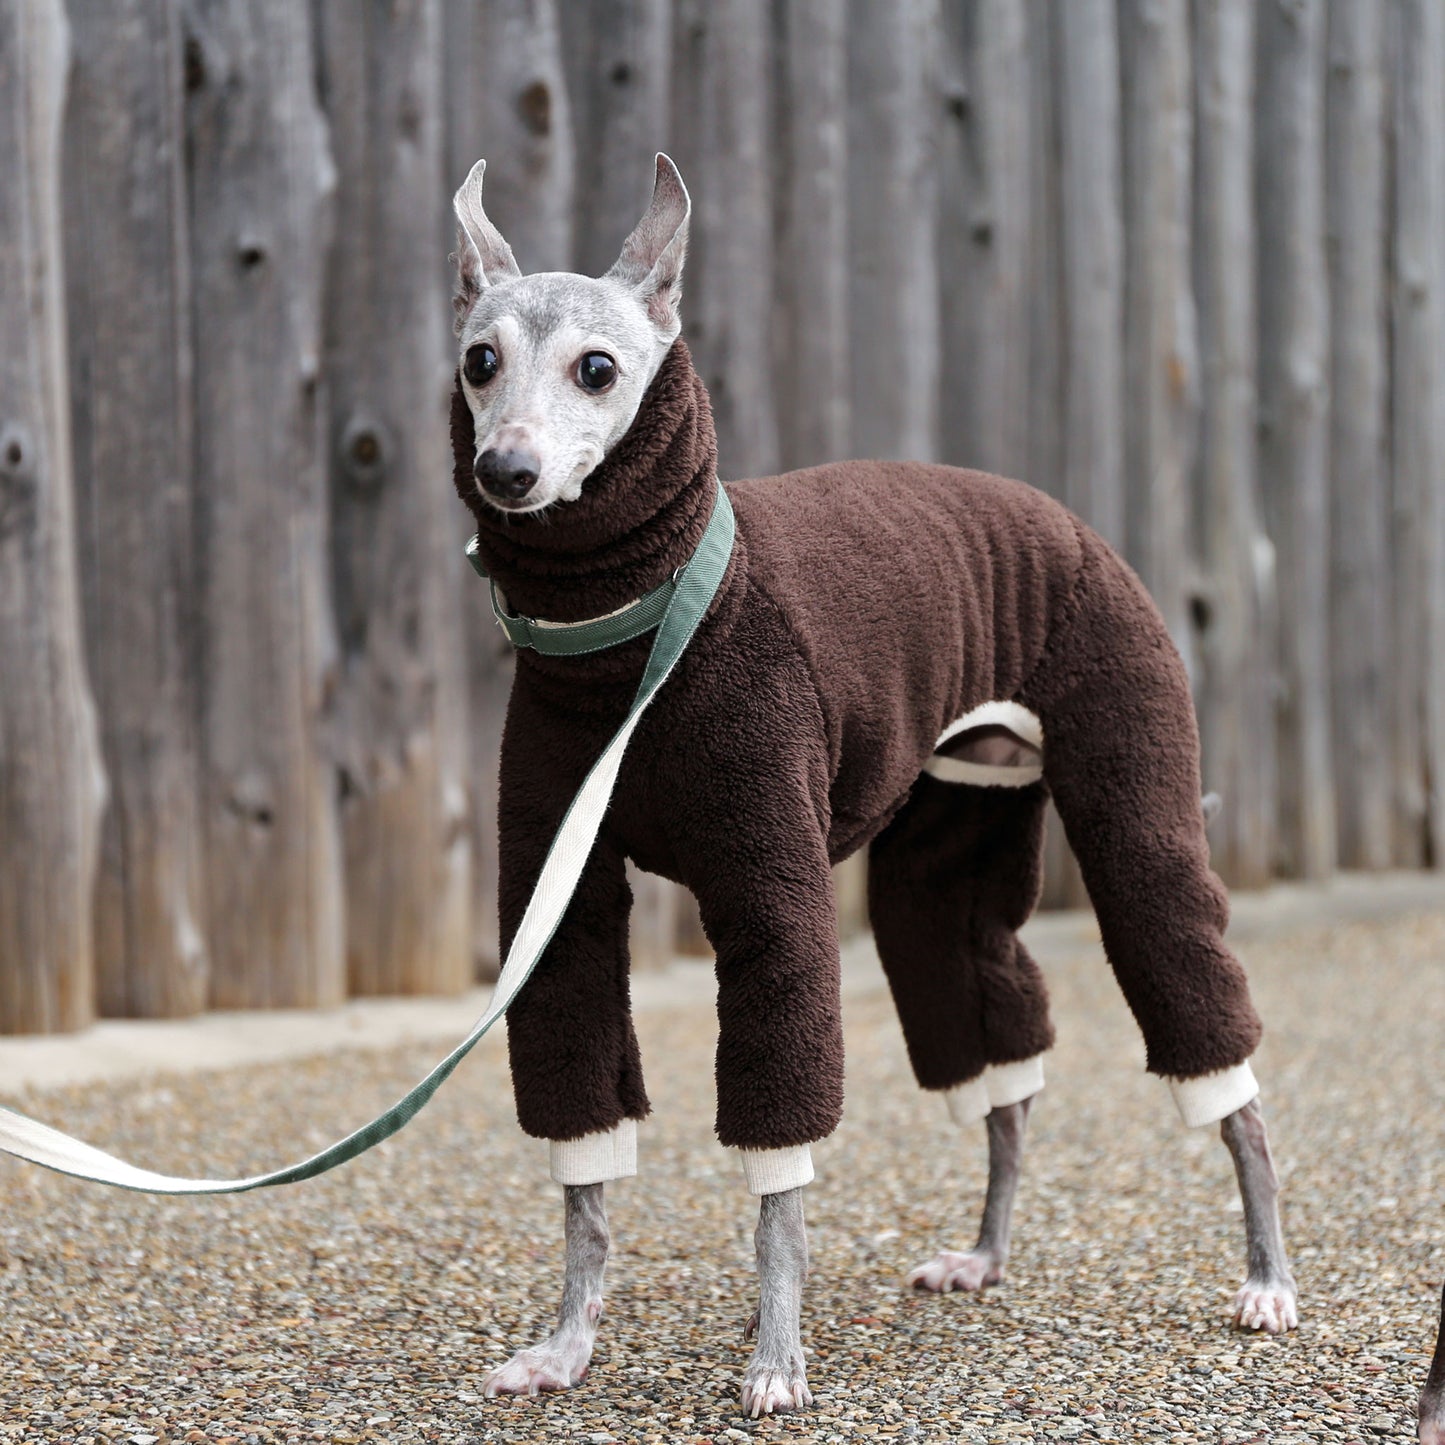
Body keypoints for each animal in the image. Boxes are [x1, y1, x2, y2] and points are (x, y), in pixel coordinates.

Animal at [450, 152, 1300, 1416]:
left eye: (596, 368)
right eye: (478, 359)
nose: (504, 471)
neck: (635, 639)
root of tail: (1068, 520)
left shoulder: (774, 890)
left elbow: (777, 1173)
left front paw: (774, 1354)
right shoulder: (561, 908)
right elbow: (584, 1175)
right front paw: (565, 1344)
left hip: (1133, 805)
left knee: (1217, 1057)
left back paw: (1265, 1272)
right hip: (942, 855)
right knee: (999, 1048)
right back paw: (984, 1252)